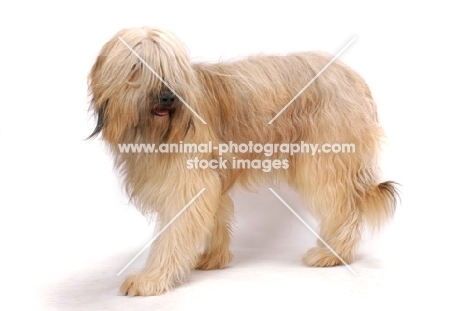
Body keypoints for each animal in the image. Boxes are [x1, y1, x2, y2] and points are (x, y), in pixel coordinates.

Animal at [88, 25, 398, 296]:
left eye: (171, 69)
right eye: (137, 66)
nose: (167, 97)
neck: (155, 132)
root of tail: (354, 77)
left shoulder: (187, 183)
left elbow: (173, 233)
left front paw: (151, 279)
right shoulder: (209, 177)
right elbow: (214, 216)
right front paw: (212, 258)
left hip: (326, 160)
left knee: (344, 207)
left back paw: (331, 254)